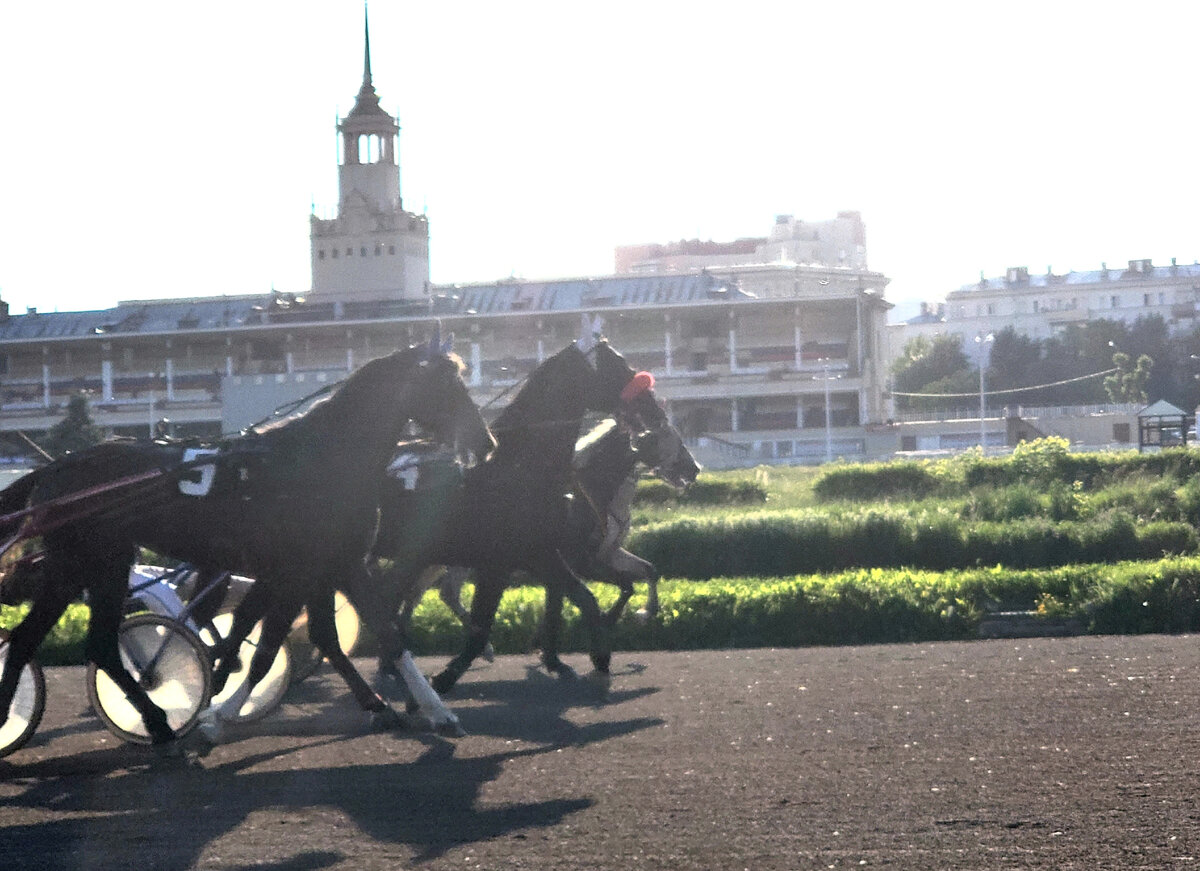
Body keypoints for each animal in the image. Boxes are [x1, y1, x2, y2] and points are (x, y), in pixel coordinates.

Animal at [0, 345, 492, 753]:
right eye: (447, 387)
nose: (486, 443)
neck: (320, 462)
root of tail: (57, 467)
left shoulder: (339, 563)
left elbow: (376, 634)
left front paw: (430, 710)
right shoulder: (297, 571)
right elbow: (266, 650)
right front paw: (218, 717)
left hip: (95, 564)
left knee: (77, 642)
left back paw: (154, 722)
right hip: (88, 561)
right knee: (56, 640)